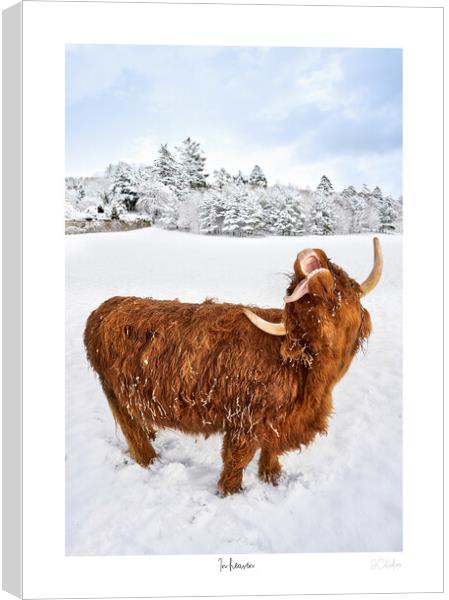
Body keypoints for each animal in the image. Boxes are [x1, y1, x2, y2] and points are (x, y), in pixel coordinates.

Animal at [85, 237, 382, 494]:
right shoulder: (244, 420)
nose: (305, 256)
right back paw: (150, 459)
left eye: (338, 276)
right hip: (114, 391)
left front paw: (272, 475)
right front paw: (230, 491)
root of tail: (104, 308)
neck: (309, 376)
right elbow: (236, 459)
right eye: (299, 304)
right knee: (131, 430)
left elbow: (270, 449)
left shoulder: (276, 421)